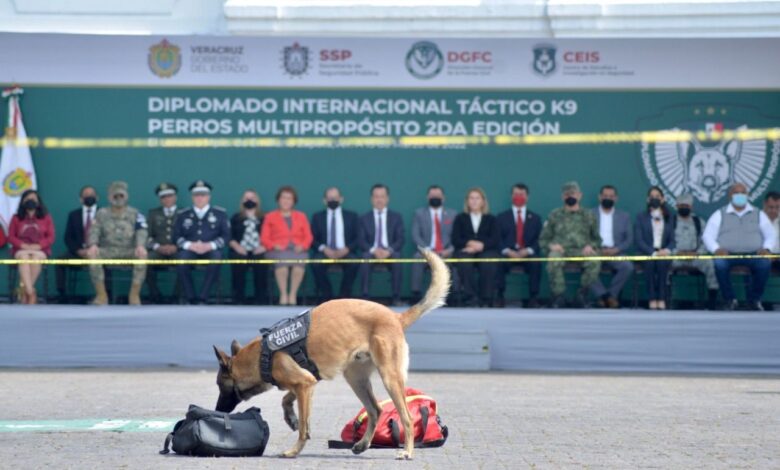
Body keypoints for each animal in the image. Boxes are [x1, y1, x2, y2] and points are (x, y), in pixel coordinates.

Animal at [213, 250, 450, 458]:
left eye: (220, 385)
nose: (216, 410)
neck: (263, 355)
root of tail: (395, 317)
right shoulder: (308, 381)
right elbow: (286, 399)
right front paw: (290, 416)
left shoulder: (304, 384)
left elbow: (304, 427)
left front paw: (294, 450)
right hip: (356, 379)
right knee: (375, 410)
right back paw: (363, 444)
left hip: (389, 378)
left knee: (406, 417)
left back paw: (407, 451)